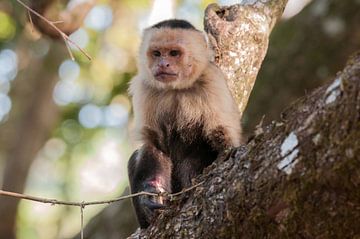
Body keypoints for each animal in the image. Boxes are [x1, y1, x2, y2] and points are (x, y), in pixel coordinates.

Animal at [126, 18, 242, 228]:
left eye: (174, 53)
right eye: (157, 53)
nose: (163, 63)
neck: (176, 89)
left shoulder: (213, 81)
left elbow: (221, 135)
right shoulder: (144, 88)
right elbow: (154, 145)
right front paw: (150, 193)